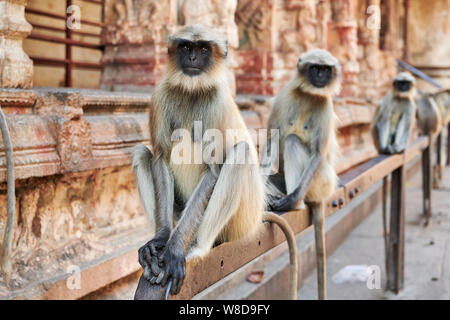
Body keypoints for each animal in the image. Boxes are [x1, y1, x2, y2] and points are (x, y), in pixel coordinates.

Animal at [260, 48, 342, 298]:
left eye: (325, 69)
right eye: (315, 68)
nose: (321, 77)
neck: (309, 94)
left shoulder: (326, 105)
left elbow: (317, 153)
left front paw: (291, 201)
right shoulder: (283, 96)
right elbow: (271, 141)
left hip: (321, 181)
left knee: (293, 141)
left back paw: (294, 203)